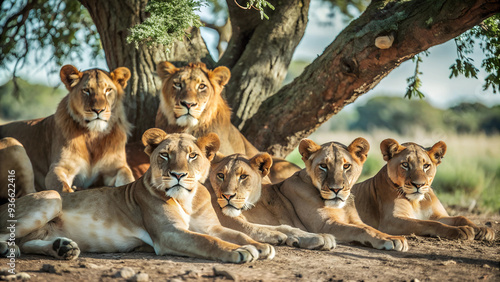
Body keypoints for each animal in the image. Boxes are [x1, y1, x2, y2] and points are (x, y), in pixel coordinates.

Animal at [0, 64, 135, 193]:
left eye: (108, 90)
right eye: (86, 90)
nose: (98, 110)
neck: (93, 135)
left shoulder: (118, 167)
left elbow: (128, 179)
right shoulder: (59, 167)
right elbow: (62, 188)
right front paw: (70, 190)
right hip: (12, 143)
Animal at [0, 129, 274, 264]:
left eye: (193, 155)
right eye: (164, 154)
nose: (177, 174)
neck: (187, 199)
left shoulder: (211, 227)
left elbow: (236, 234)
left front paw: (262, 246)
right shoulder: (168, 234)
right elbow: (208, 242)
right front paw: (242, 252)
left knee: (26, 243)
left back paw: (63, 248)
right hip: (51, 196)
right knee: (10, 236)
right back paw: (8, 249)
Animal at [352, 139, 496, 240]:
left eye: (426, 166)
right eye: (405, 164)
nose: (418, 185)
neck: (417, 202)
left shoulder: (437, 215)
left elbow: (461, 217)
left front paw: (482, 229)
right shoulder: (391, 221)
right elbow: (428, 224)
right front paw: (461, 230)